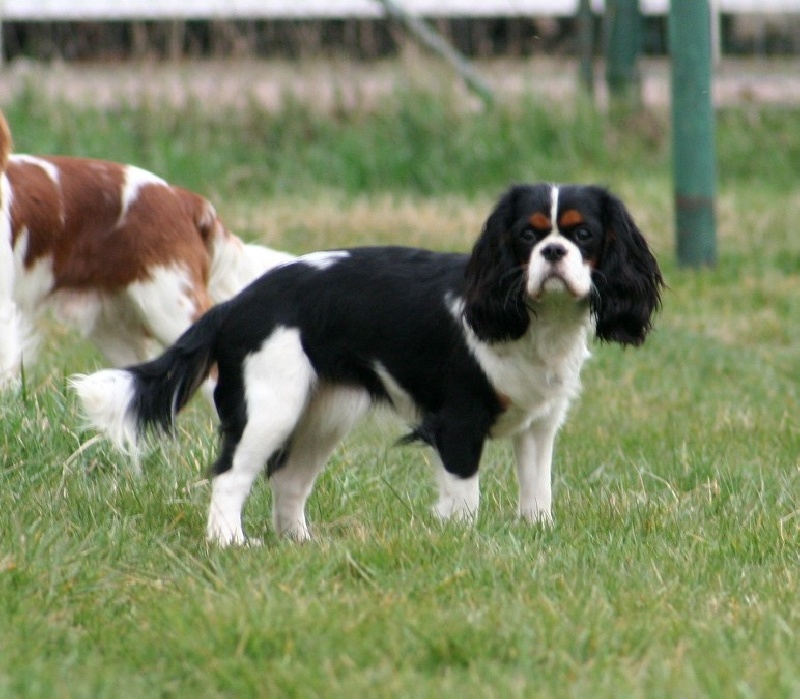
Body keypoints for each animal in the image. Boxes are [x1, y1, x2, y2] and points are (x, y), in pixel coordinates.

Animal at [73, 186, 664, 548]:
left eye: (583, 235)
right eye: (527, 235)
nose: (554, 252)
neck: (536, 321)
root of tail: (234, 306)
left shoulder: (540, 425)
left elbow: (538, 490)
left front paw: (537, 531)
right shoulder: (458, 423)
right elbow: (464, 495)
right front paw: (464, 542)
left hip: (323, 414)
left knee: (288, 481)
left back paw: (299, 543)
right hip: (271, 407)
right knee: (231, 475)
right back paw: (230, 543)